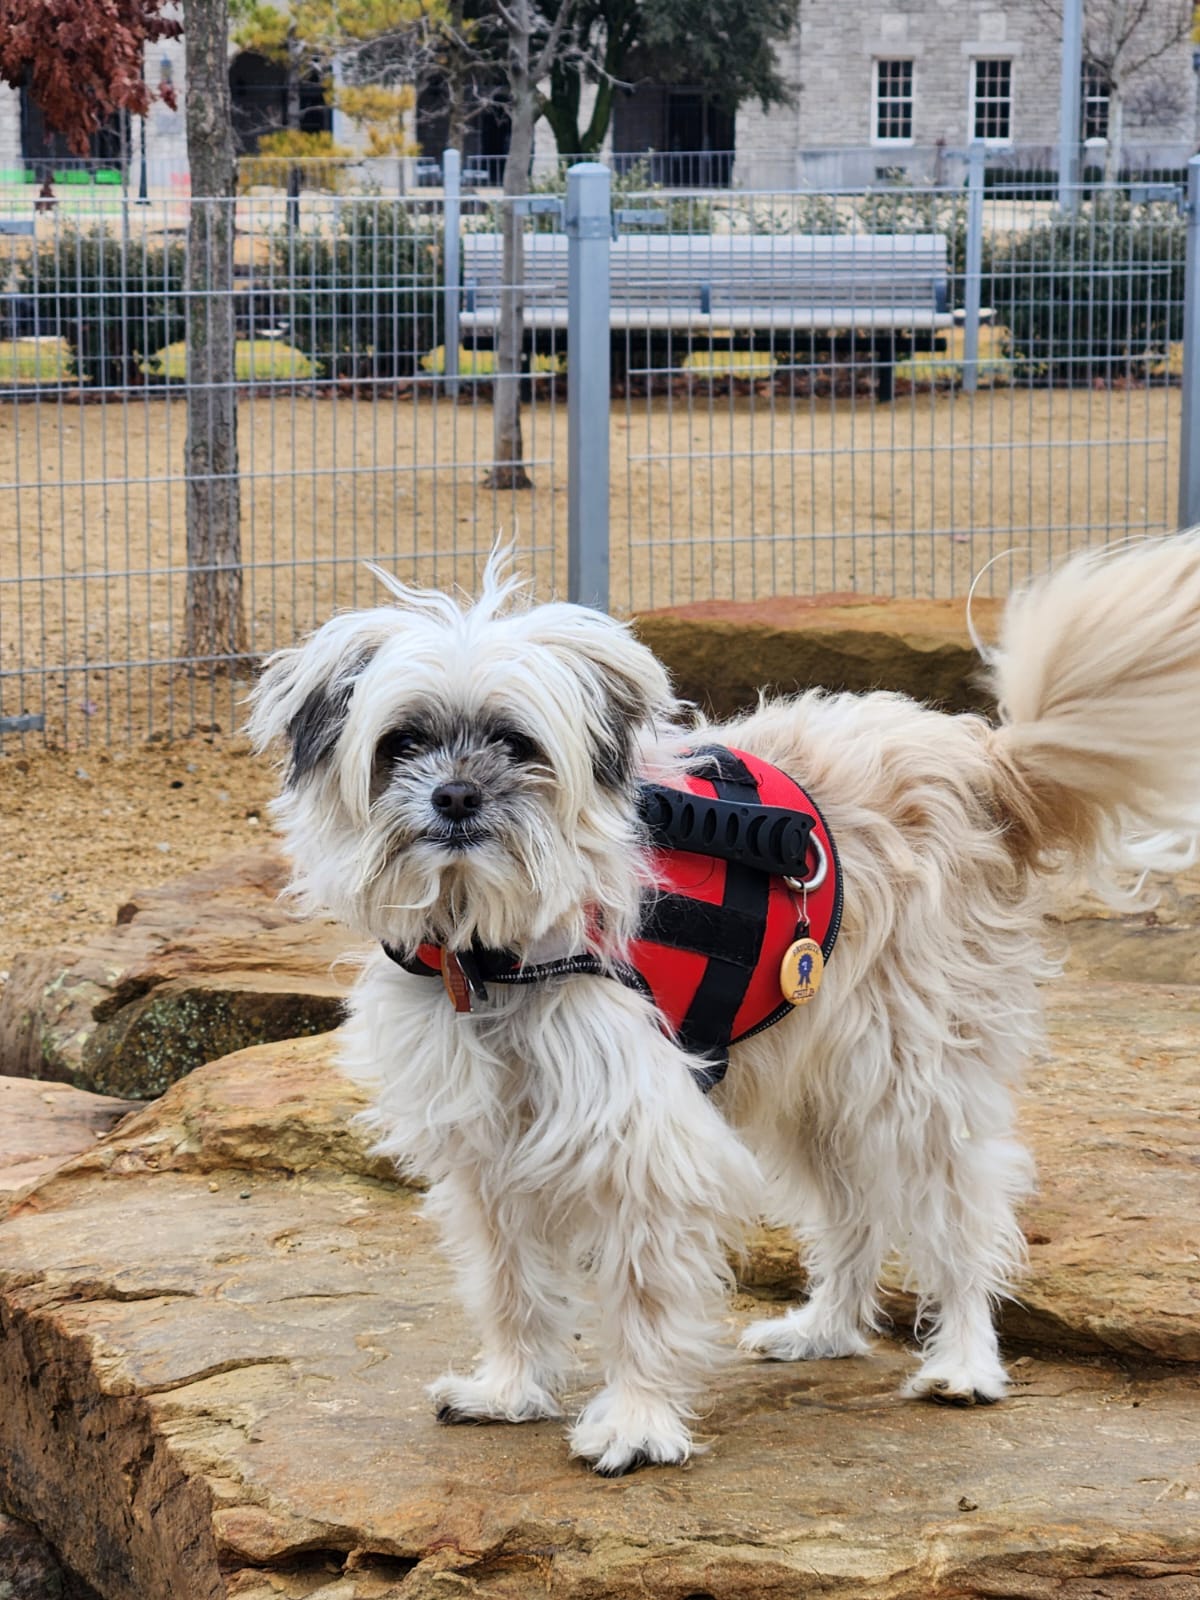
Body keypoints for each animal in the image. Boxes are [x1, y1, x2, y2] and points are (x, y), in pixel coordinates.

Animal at [249, 537, 1200, 1472]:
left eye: (517, 742)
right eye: (402, 742)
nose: (454, 797)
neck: (491, 943)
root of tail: (983, 762)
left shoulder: (639, 1140)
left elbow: (639, 1290)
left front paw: (635, 1422)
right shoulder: (485, 1144)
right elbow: (510, 1279)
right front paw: (511, 1389)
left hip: (907, 1077)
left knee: (959, 1213)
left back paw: (963, 1362)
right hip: (817, 1087)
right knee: (855, 1217)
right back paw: (824, 1330)